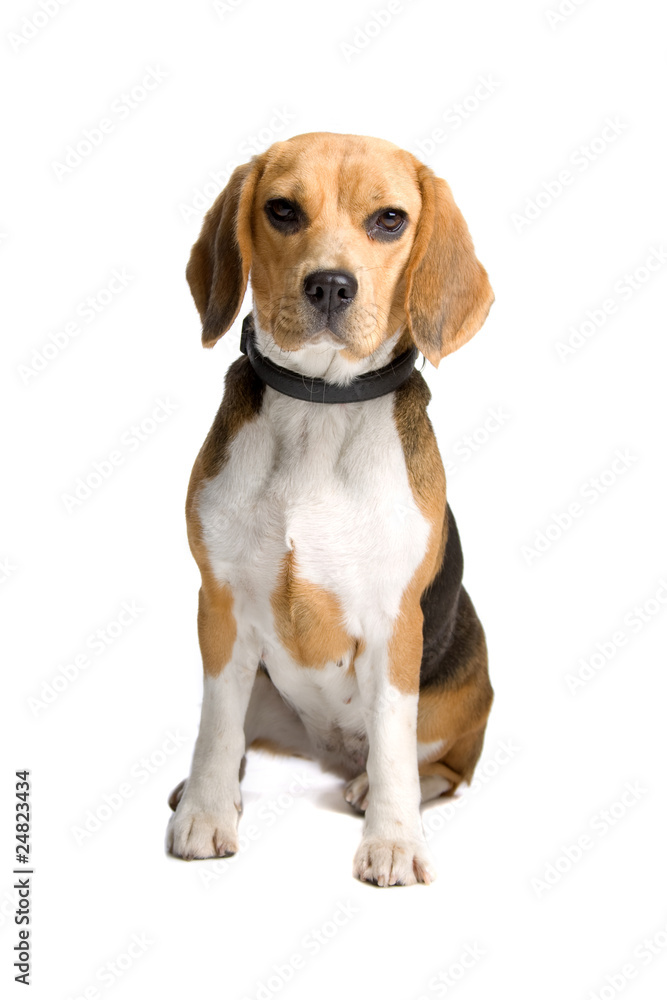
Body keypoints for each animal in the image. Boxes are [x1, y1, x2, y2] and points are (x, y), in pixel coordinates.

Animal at [167, 131, 496, 884]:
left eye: (390, 220)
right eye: (282, 210)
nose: (328, 285)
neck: (320, 405)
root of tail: (330, 749)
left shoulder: (395, 625)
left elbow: (396, 746)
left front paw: (394, 840)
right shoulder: (219, 606)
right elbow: (215, 726)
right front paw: (206, 812)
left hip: (460, 697)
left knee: (439, 768)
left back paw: (373, 787)